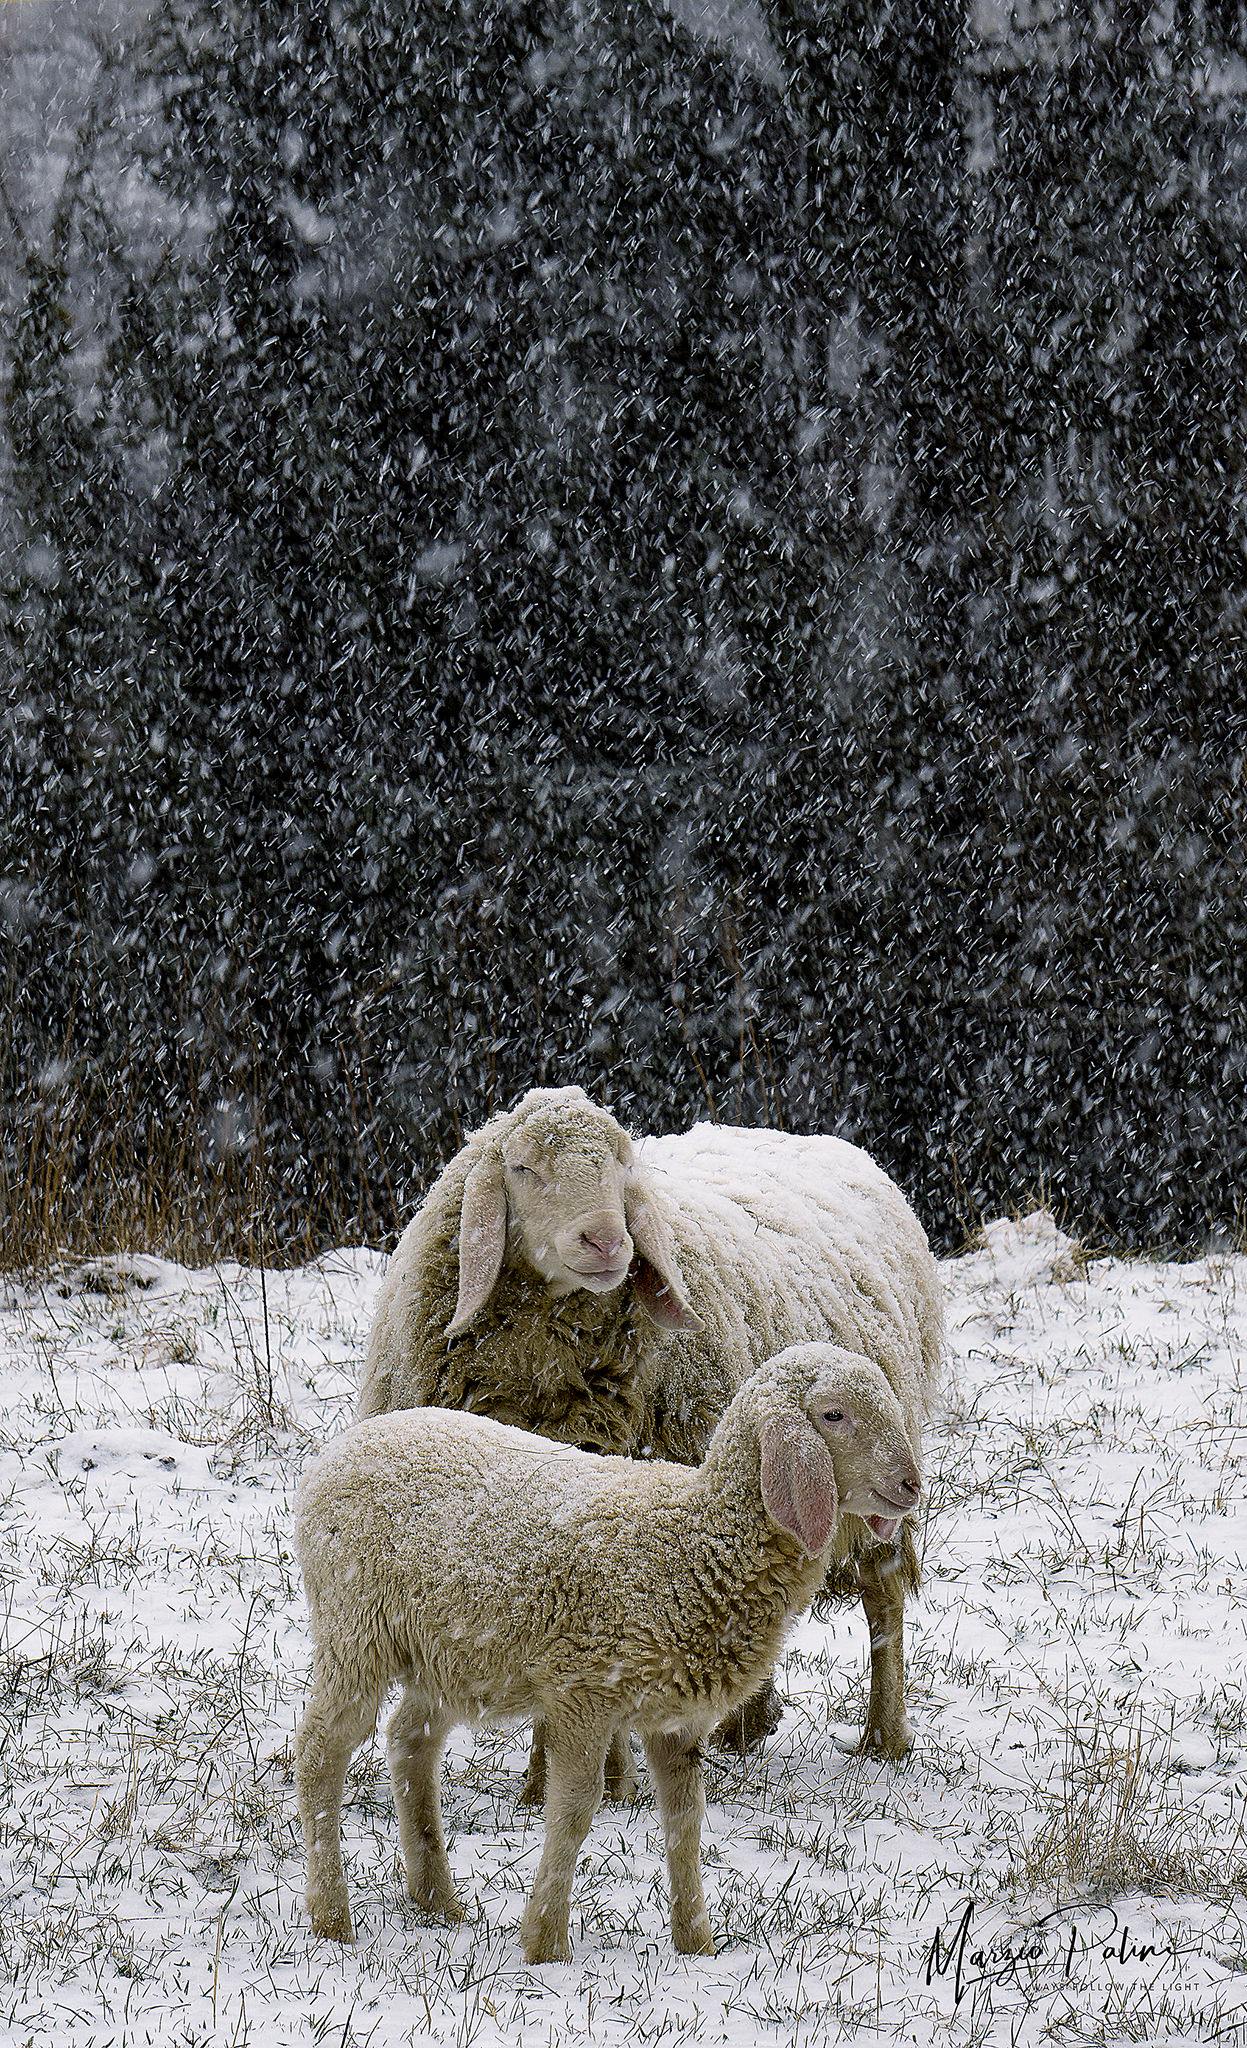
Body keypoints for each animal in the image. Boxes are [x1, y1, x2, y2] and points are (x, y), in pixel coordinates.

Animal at [296, 1342, 923, 1962]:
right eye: (834, 1415)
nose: (912, 1484)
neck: (697, 1539)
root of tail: (342, 1448)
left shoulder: (678, 1718)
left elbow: (685, 1819)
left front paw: (696, 1944)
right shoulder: (583, 1694)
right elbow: (575, 1810)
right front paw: (546, 1943)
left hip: (449, 1656)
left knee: (410, 1743)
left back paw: (435, 1902)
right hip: (354, 1629)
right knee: (321, 1752)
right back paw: (332, 1917)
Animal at [358, 1085, 943, 1779]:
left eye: (620, 1168)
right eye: (523, 1169)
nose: (608, 1241)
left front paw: (581, 1780)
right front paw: (566, 1780)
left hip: (873, 1477)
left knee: (884, 1596)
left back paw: (885, 1735)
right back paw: (745, 1727)